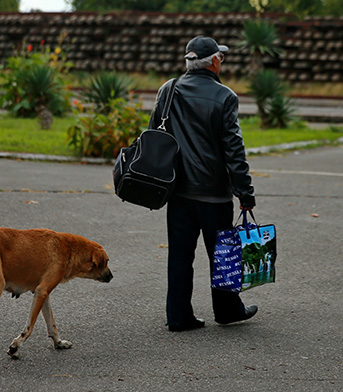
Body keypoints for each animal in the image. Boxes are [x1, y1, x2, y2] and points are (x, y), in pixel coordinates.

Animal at [0, 228, 113, 360]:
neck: (68, 248)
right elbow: (29, 327)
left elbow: (52, 324)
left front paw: (59, 343)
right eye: (107, 261)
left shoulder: (43, 293)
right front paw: (16, 347)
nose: (111, 276)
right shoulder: (42, 291)